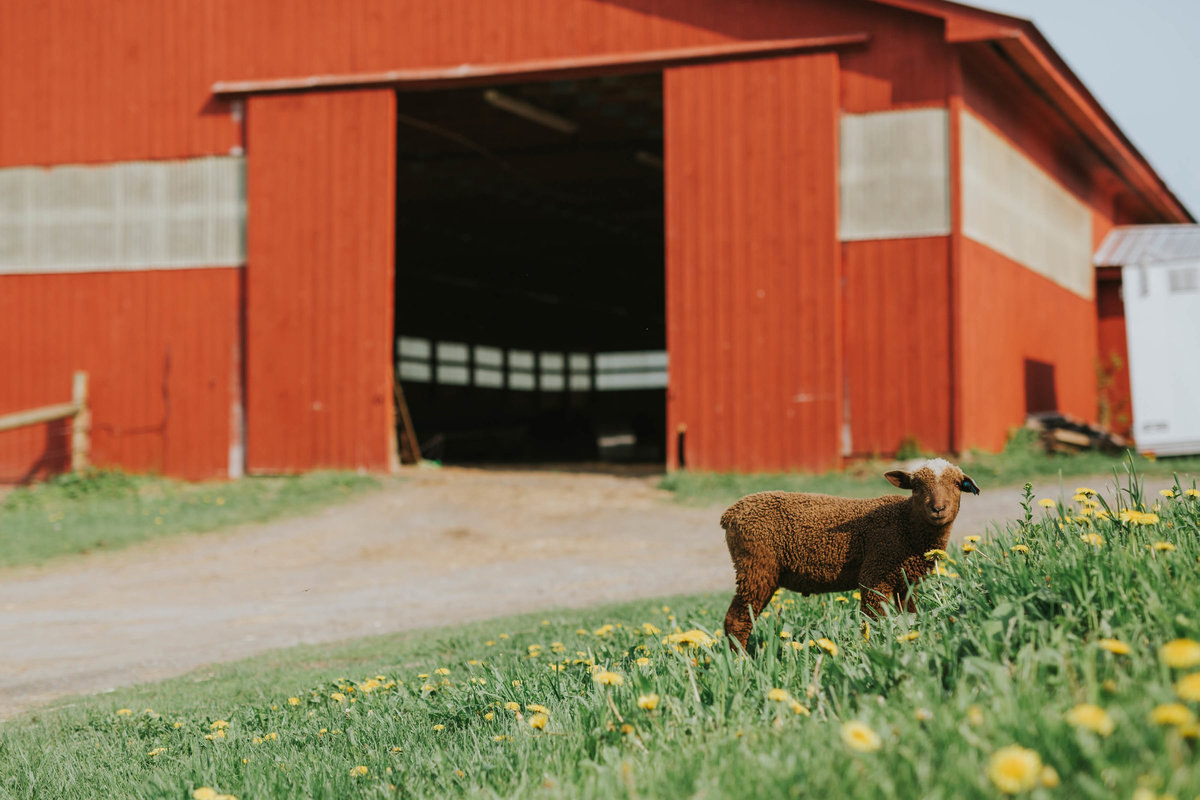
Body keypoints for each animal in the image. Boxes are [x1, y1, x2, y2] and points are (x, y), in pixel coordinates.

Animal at [720, 455, 974, 652]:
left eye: (957, 484)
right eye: (916, 486)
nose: (938, 509)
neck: (907, 524)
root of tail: (731, 514)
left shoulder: (907, 581)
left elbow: (909, 615)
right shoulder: (875, 575)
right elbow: (872, 621)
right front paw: (872, 648)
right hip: (756, 566)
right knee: (737, 621)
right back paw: (742, 662)